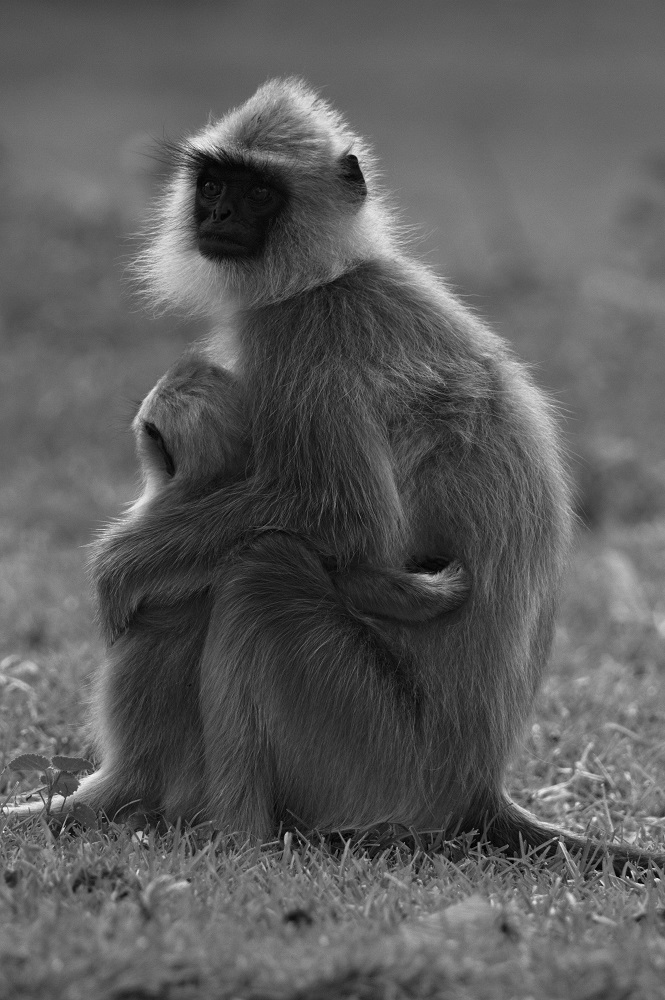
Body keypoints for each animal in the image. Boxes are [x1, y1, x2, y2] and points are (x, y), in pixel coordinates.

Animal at [6, 82, 664, 872]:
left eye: (258, 193)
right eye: (213, 184)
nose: (217, 217)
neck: (335, 274)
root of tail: (478, 790)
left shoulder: (307, 334)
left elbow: (342, 518)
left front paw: (117, 566)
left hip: (376, 750)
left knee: (258, 572)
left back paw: (223, 835)